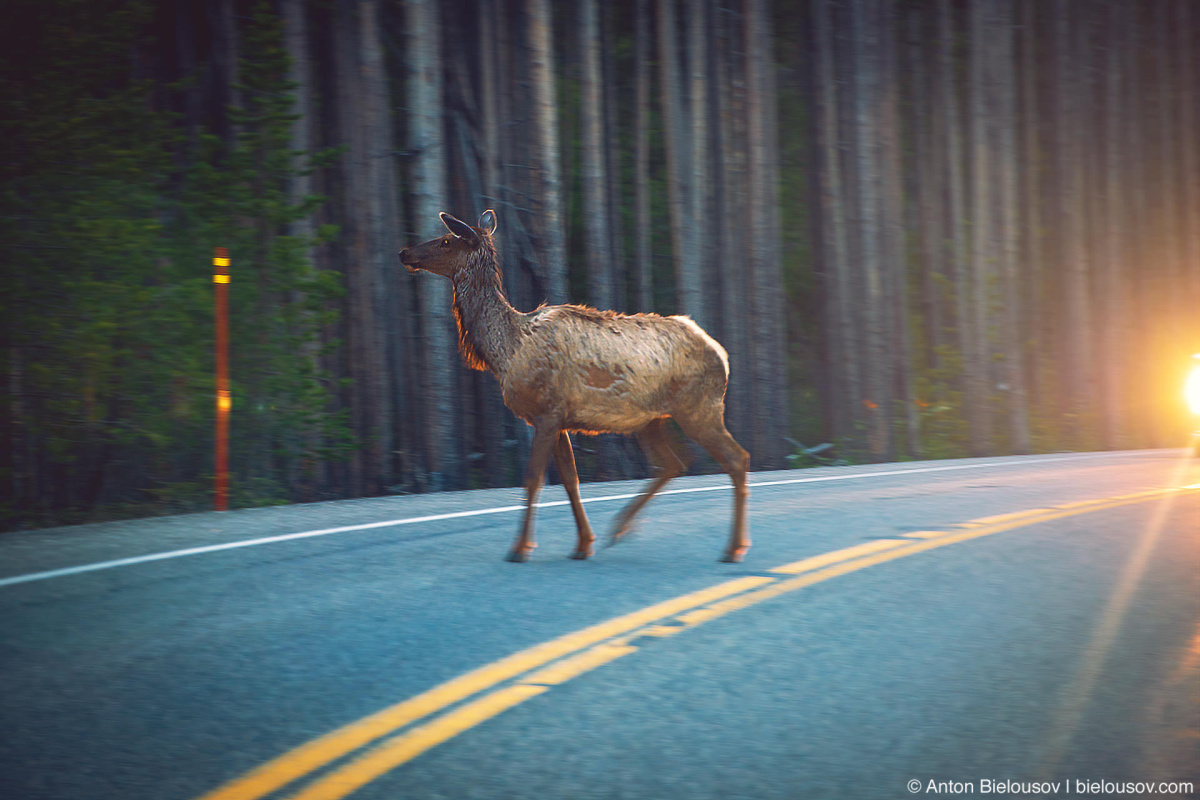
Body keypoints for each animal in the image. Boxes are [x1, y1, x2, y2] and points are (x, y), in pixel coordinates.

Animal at [398, 212, 744, 563]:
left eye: (445, 240)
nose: (404, 252)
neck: (506, 352)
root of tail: (722, 355)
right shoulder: (559, 420)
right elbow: (570, 480)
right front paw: (583, 544)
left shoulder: (546, 413)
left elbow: (533, 480)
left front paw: (520, 548)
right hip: (651, 420)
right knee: (674, 463)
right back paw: (620, 528)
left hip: (698, 408)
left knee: (736, 458)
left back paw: (733, 548)